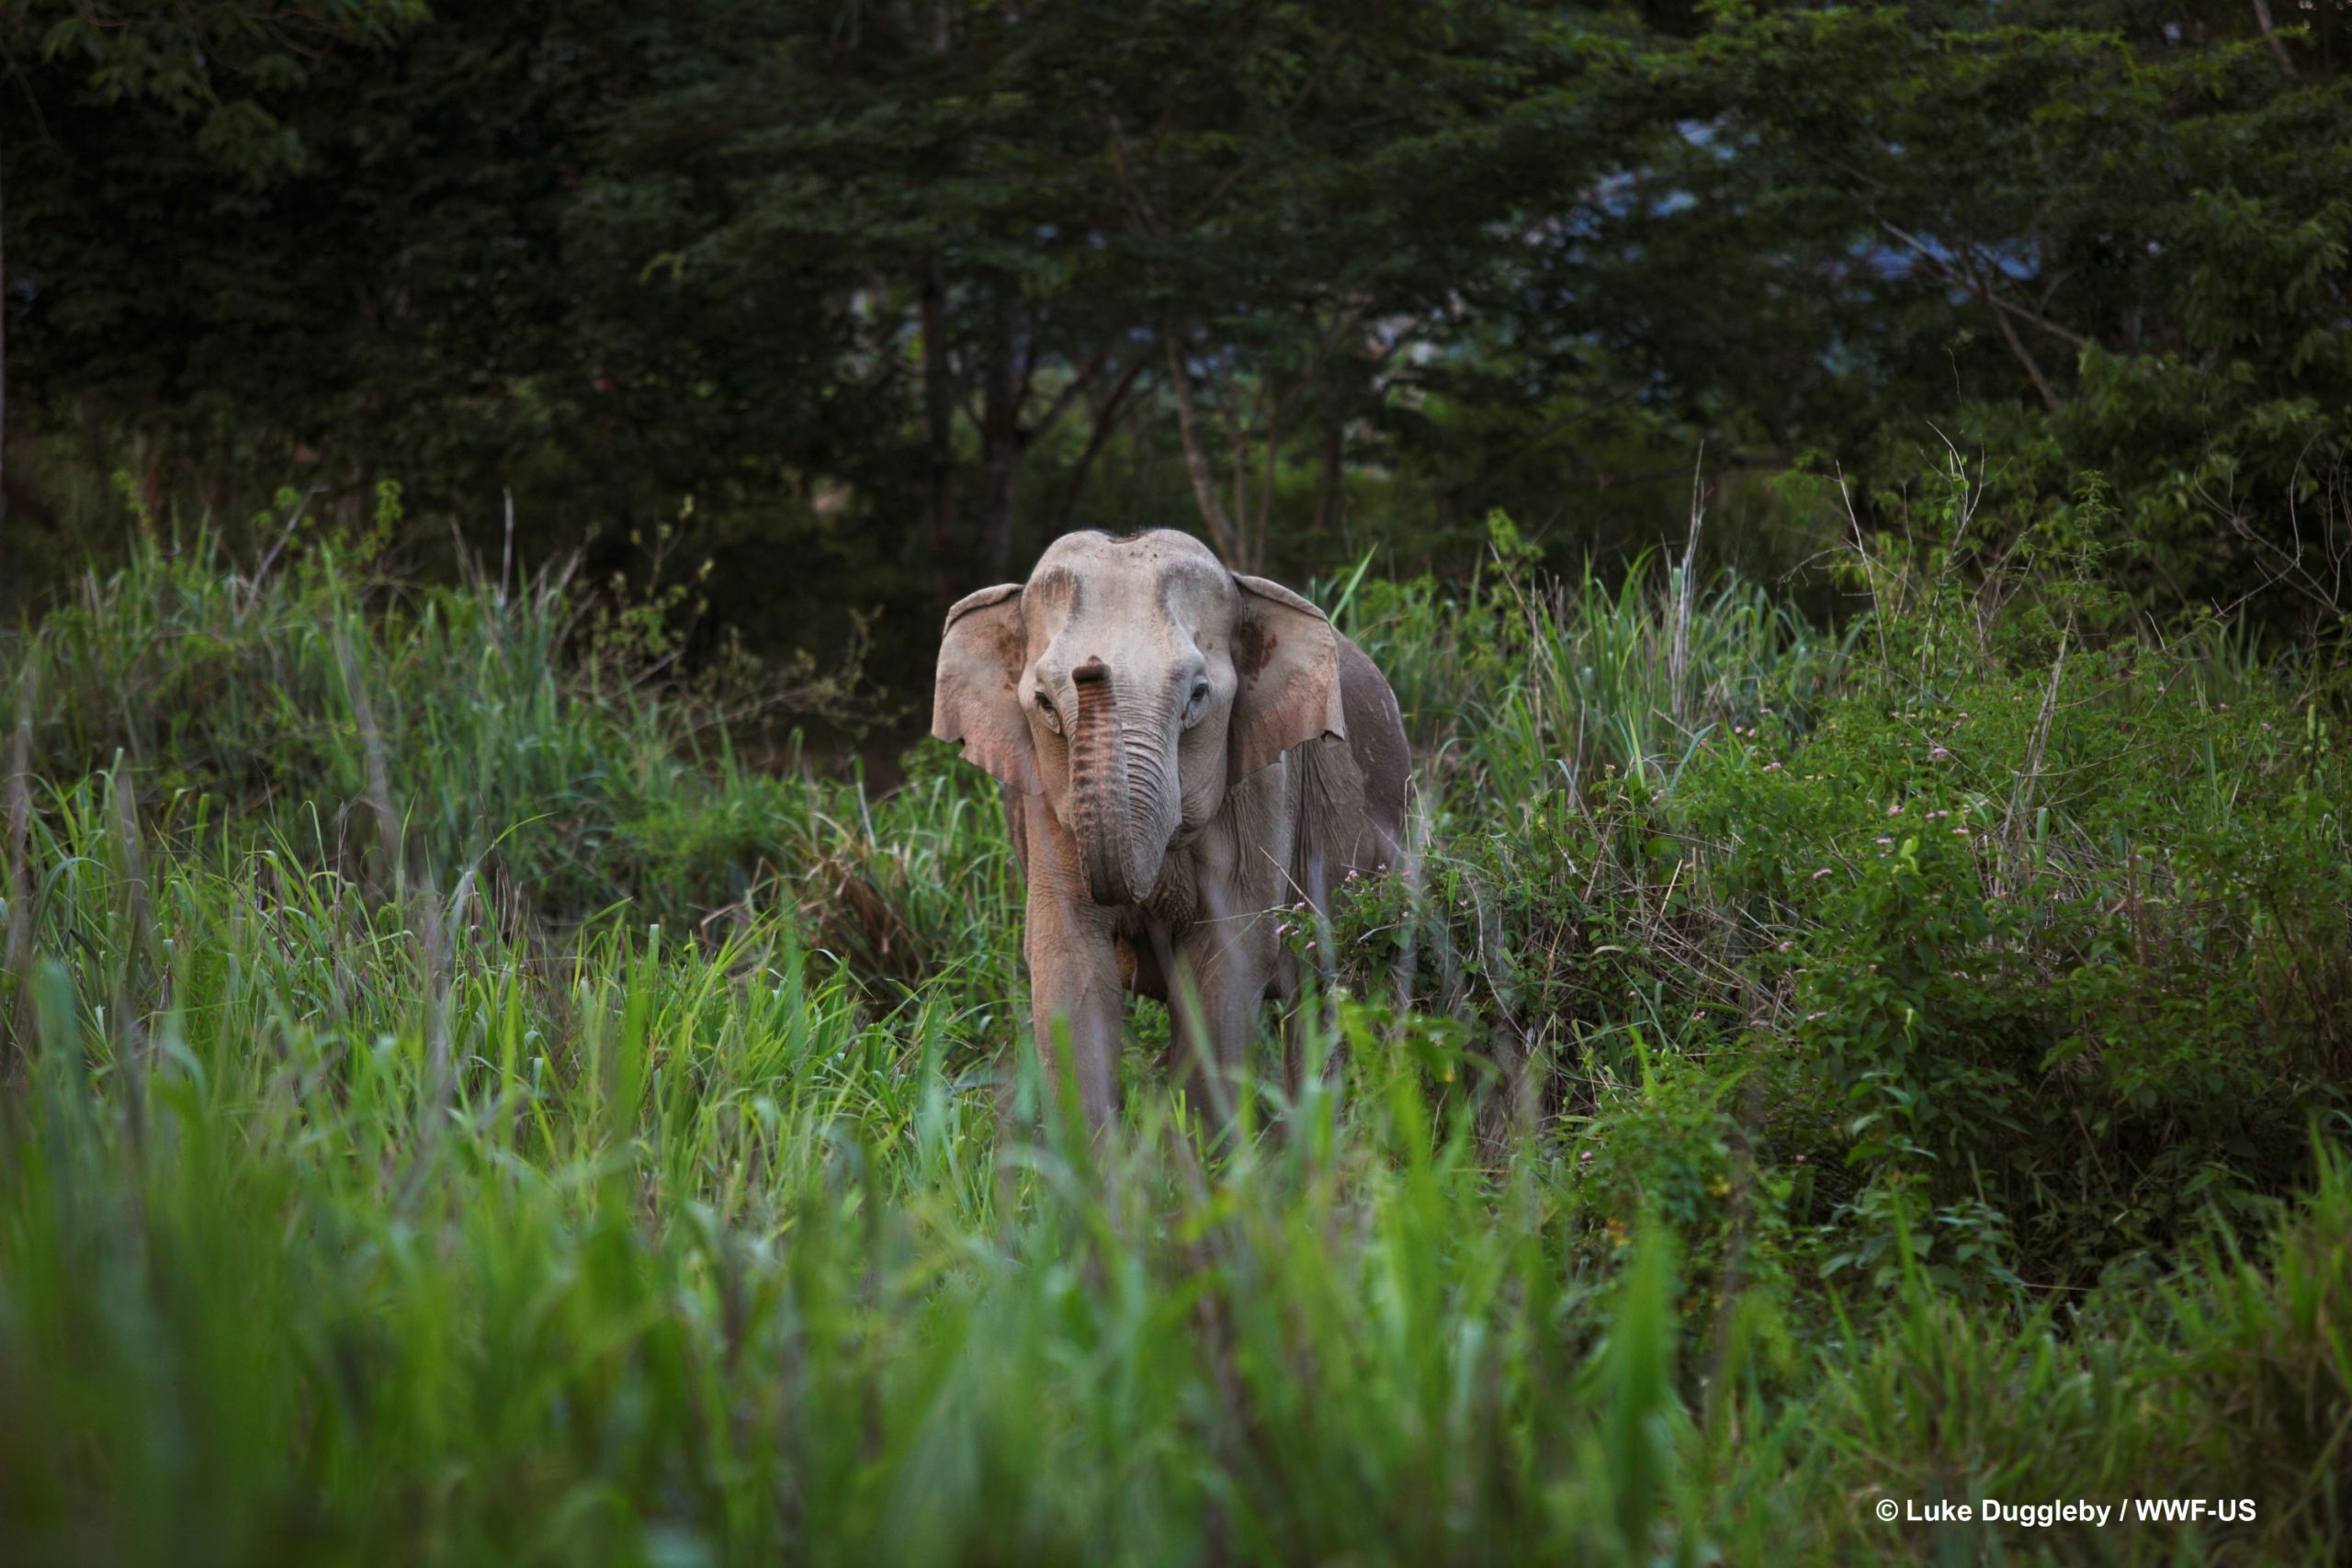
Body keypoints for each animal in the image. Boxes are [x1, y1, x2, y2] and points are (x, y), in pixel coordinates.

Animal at [932, 528, 1410, 1128]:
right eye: (1043, 702)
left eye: (1198, 694)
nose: (1092, 668)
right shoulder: (1044, 803)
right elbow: (1067, 961)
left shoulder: (1262, 787)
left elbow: (1225, 967)